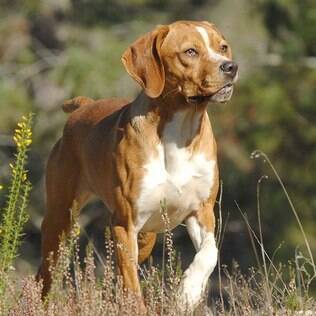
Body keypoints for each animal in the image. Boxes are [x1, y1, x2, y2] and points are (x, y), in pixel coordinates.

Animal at [37, 20, 237, 312]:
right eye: (190, 52)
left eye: (223, 47)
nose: (230, 67)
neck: (179, 133)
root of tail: (83, 107)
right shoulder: (125, 223)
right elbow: (132, 287)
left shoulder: (202, 211)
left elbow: (210, 252)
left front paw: (187, 293)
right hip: (61, 218)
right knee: (46, 273)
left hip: (146, 236)